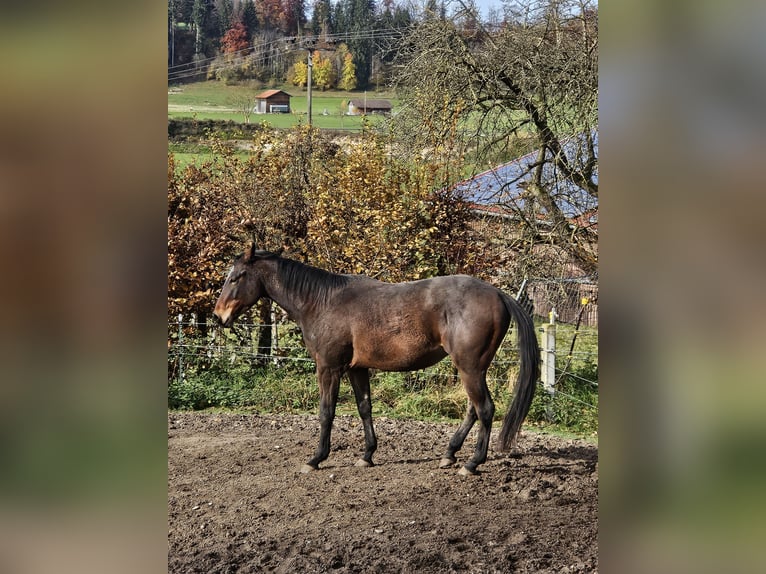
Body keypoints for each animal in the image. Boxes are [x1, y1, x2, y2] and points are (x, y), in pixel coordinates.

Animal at [214, 245, 541, 476]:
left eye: (236, 277)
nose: (219, 316)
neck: (321, 302)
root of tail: (498, 293)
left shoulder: (329, 368)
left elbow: (326, 412)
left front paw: (317, 458)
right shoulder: (357, 369)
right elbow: (364, 408)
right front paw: (367, 455)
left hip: (470, 368)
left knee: (485, 409)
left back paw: (471, 463)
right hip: (472, 368)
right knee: (474, 410)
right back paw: (450, 453)